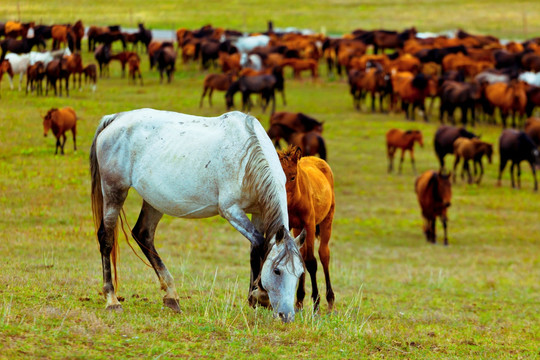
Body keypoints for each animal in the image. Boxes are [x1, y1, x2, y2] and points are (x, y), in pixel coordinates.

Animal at [90, 109, 306, 324]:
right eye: (277, 270)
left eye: (300, 273)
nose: (287, 315)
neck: (247, 156)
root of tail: (116, 118)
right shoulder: (231, 210)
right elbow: (260, 244)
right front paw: (259, 295)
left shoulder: (259, 212)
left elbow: (256, 249)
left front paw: (254, 297)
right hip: (114, 191)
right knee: (106, 238)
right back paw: (112, 300)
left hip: (154, 199)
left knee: (143, 234)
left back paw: (171, 296)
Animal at [278, 146, 334, 312]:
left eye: (292, 177)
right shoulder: (289, 225)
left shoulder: (309, 225)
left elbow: (311, 262)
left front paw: (316, 302)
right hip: (298, 229)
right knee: (301, 253)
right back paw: (300, 300)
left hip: (327, 220)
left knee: (324, 254)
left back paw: (330, 300)